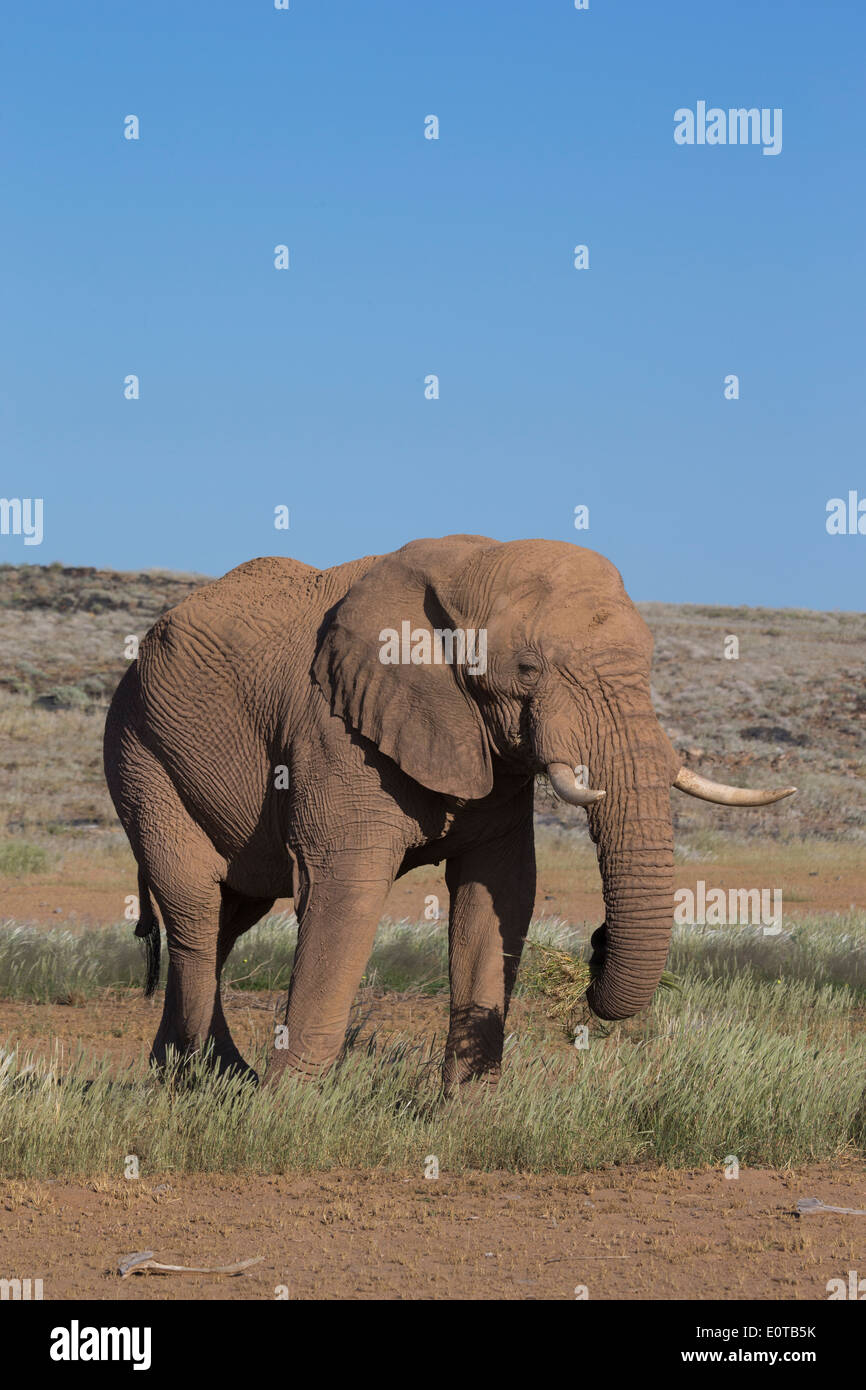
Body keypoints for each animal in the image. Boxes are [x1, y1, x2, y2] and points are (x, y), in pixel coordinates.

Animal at [101, 536, 795, 1089]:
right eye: (528, 668)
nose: (596, 946)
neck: (470, 568)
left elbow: (500, 893)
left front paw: (469, 1113)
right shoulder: (334, 732)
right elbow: (345, 891)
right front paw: (285, 1110)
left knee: (228, 915)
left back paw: (199, 1076)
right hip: (140, 756)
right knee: (196, 910)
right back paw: (205, 1082)